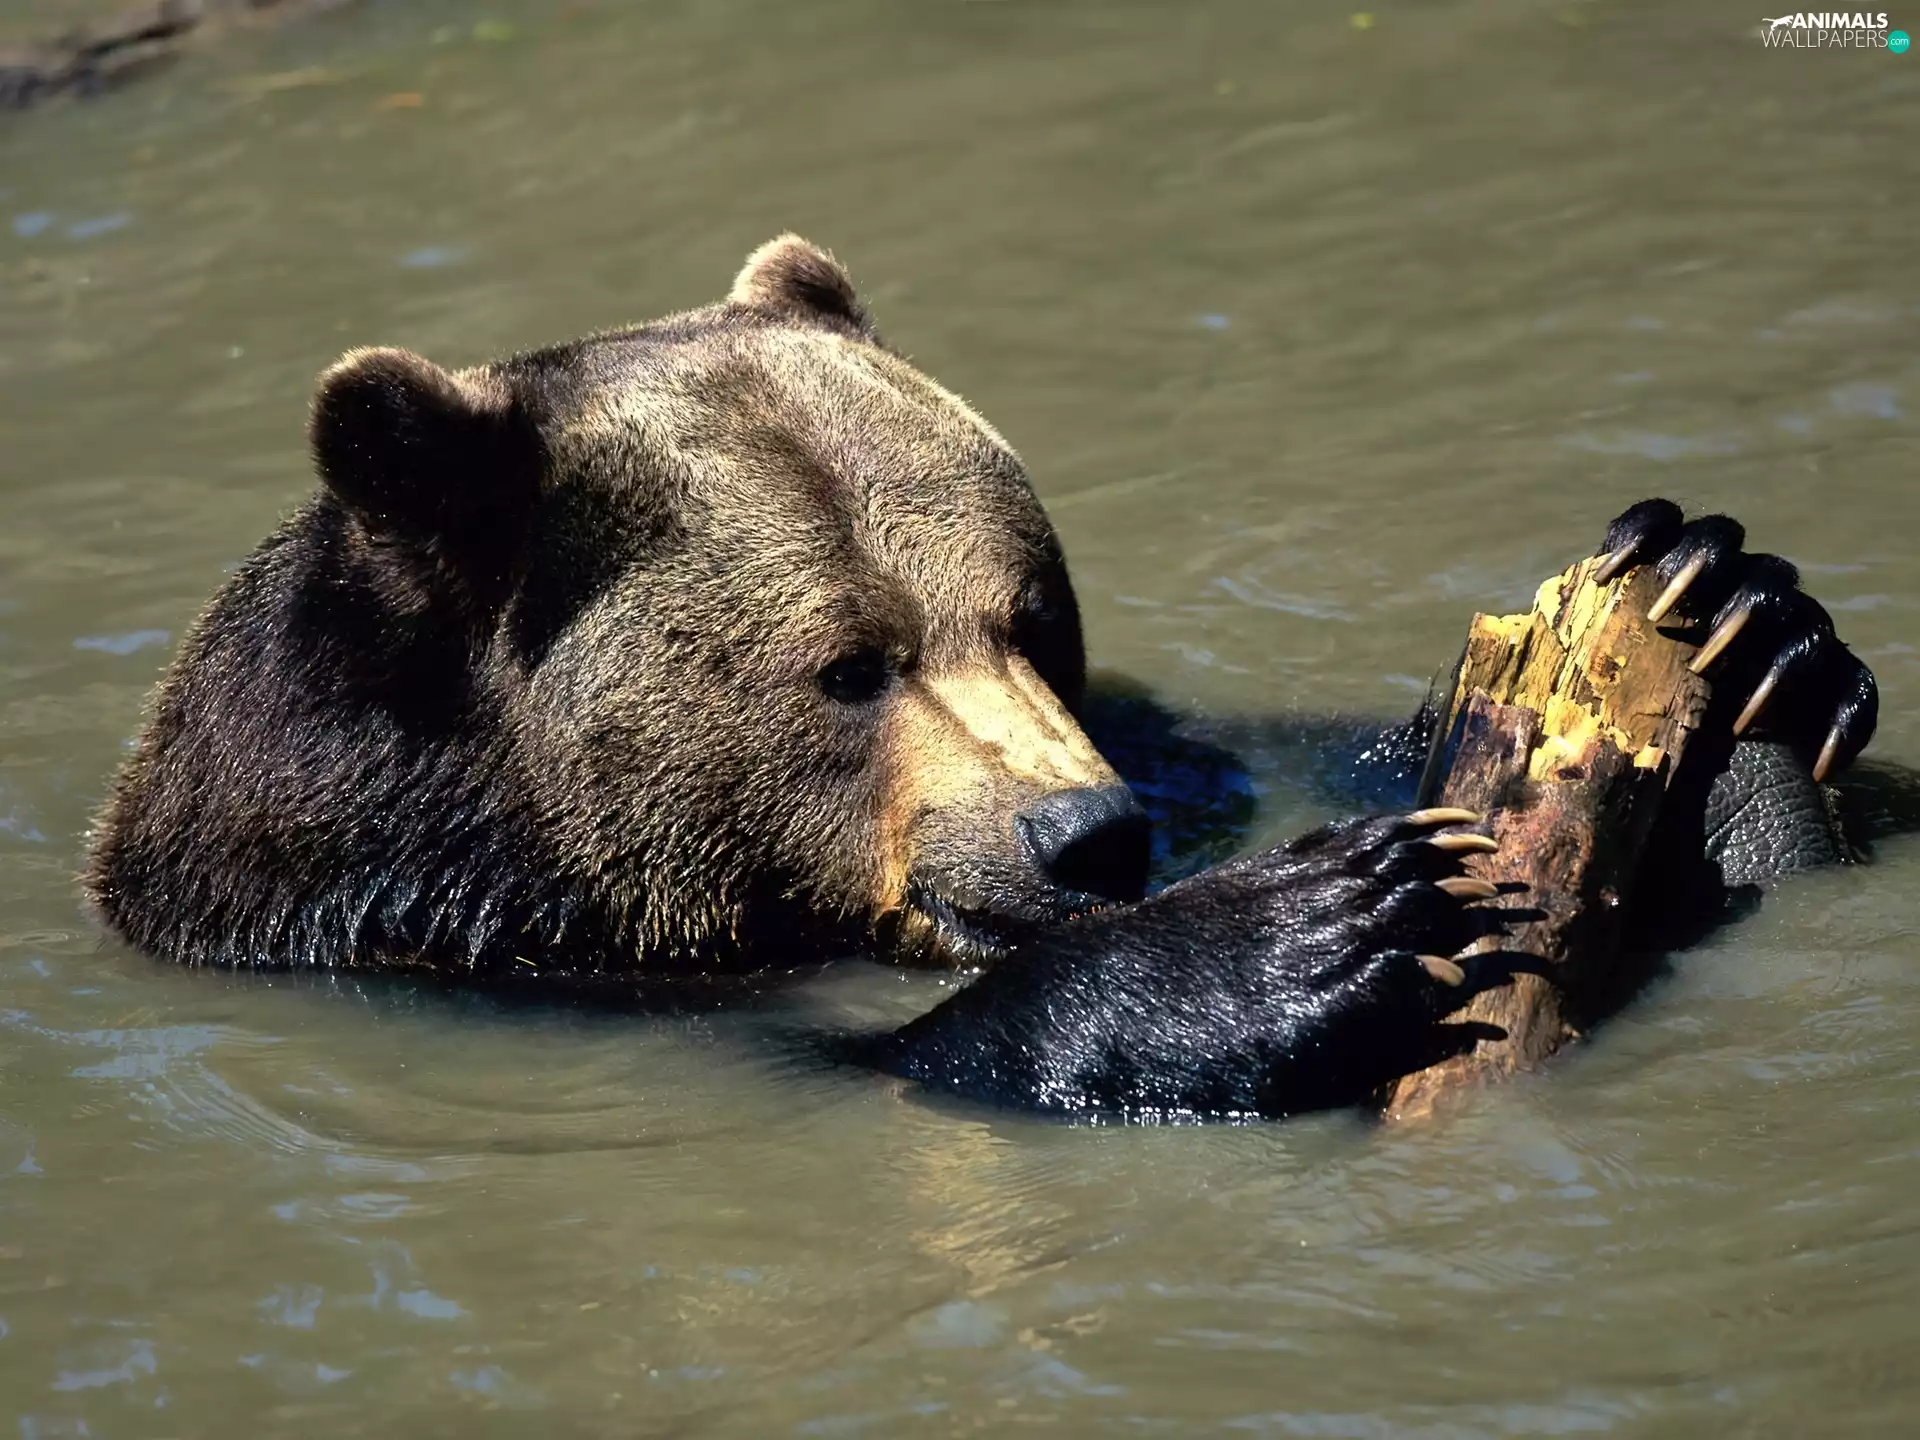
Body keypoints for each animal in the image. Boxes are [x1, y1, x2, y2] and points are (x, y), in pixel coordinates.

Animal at [84, 236, 1880, 1121]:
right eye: (846, 669)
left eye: (1030, 614)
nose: (1087, 834)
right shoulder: (462, 962)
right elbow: (884, 1064)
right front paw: (1308, 927)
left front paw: (1739, 628)